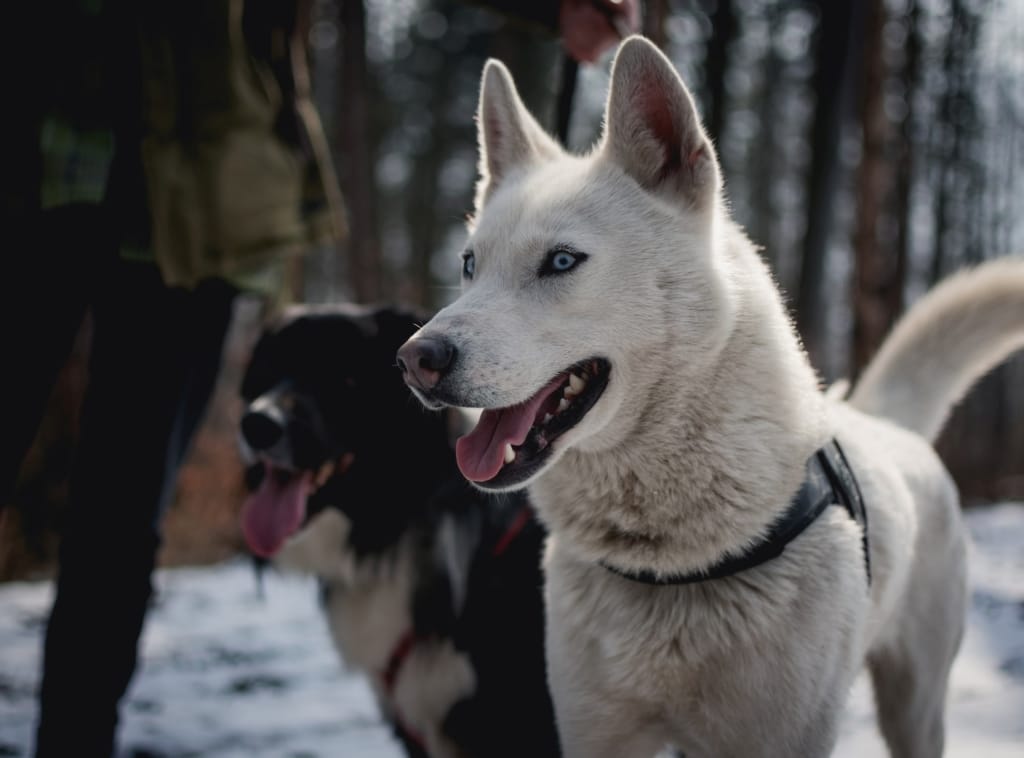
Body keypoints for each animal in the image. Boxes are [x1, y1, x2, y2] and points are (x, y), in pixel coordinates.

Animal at [395, 37, 1024, 758]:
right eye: (469, 265)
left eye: (561, 261)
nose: (416, 360)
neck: (668, 559)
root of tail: (888, 421)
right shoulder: (595, 732)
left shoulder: (781, 737)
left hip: (915, 705)